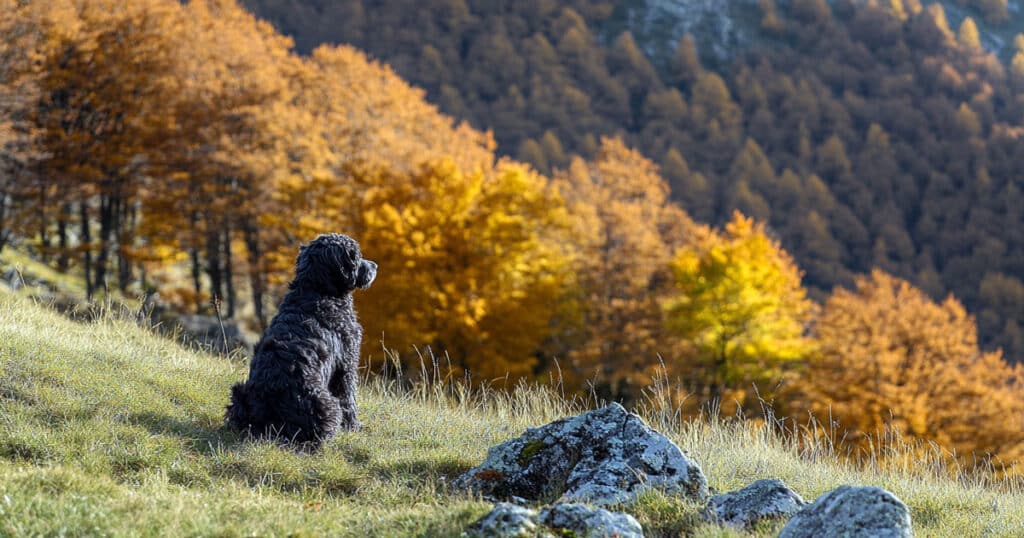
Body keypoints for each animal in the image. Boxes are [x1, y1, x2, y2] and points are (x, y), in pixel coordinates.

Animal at [226, 232, 378, 446]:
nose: (375, 265)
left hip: (238, 393)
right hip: (327, 405)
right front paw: (354, 427)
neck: (316, 290)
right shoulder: (346, 365)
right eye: (356, 256)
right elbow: (349, 398)